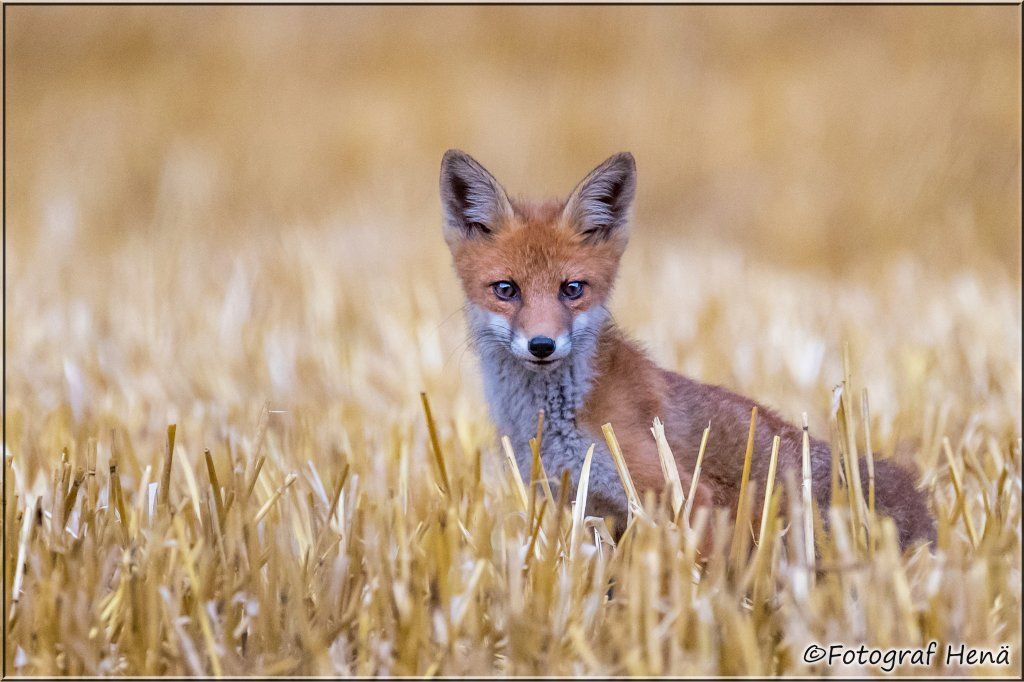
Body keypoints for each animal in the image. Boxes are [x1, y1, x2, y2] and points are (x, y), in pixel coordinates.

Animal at [439, 149, 936, 550]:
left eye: (572, 289)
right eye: (506, 289)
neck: (559, 421)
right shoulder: (592, 509)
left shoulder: (685, 495)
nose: (542, 345)